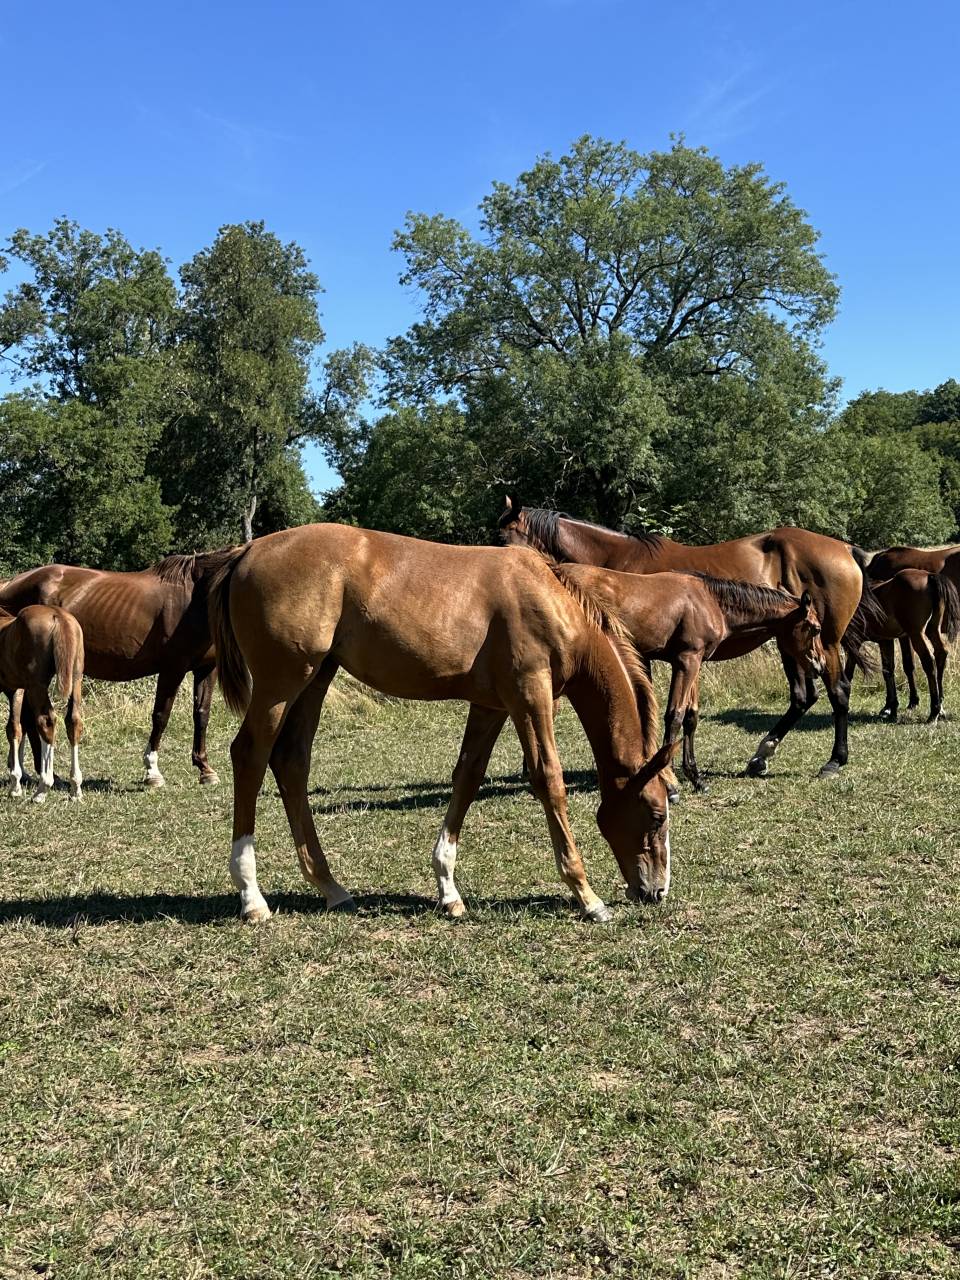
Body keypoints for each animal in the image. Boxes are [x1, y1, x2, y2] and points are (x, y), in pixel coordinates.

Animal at [1, 606, 84, 803]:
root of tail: (58, 616)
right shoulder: (16, 689)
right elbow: (16, 728)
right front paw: (16, 783)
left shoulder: (15, 689)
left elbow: (14, 728)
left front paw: (16, 783)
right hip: (76, 677)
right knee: (73, 721)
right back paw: (75, 787)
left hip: (37, 685)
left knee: (46, 721)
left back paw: (43, 788)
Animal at [207, 524, 676, 925]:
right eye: (656, 815)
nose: (656, 891)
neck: (548, 597)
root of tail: (247, 550)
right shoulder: (530, 695)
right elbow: (549, 780)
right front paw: (587, 895)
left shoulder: (491, 707)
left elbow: (467, 778)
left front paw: (448, 890)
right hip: (281, 683)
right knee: (249, 755)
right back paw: (252, 897)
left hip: (315, 679)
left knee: (291, 762)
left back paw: (331, 887)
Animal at [554, 566, 826, 795]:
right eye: (816, 628)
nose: (820, 664)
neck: (709, 602)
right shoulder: (687, 661)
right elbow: (674, 716)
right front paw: (670, 783)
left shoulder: (693, 662)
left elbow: (690, 717)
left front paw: (695, 778)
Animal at [847, 569, 960, 722]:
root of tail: (929, 576)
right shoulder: (887, 640)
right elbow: (889, 670)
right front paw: (891, 708)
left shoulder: (856, 641)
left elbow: (848, 672)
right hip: (931, 629)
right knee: (941, 653)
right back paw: (940, 707)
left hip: (916, 633)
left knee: (928, 661)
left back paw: (934, 712)